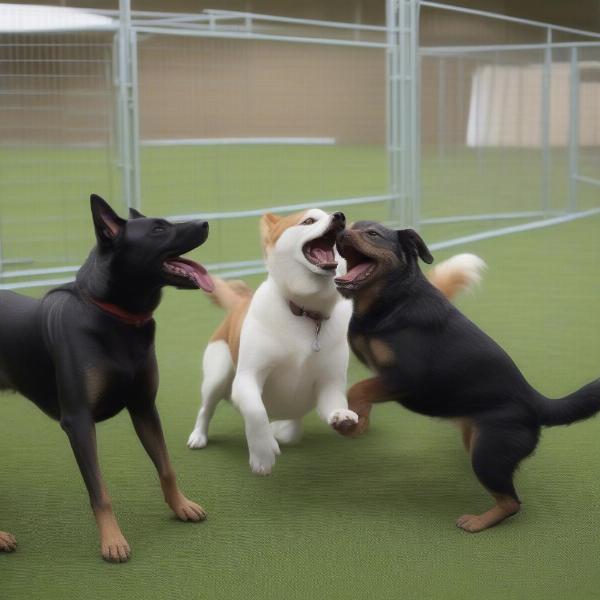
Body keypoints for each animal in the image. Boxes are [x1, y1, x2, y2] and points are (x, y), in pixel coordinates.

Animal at [0, 195, 216, 560]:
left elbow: (167, 467)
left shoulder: (144, 407)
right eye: (158, 229)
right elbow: (100, 491)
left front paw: (181, 506)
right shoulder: (78, 421)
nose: (205, 223)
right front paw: (112, 540)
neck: (113, 316)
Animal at [188, 209, 482, 476]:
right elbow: (255, 411)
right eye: (308, 220)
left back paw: (282, 430)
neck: (307, 313)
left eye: (337, 217)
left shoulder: (329, 384)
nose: (339, 216)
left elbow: (338, 404)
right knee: (206, 408)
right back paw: (199, 437)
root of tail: (241, 301)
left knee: (291, 423)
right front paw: (263, 454)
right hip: (218, 375)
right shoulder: (247, 379)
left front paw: (343, 418)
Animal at [336, 223, 600, 532]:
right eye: (351, 227)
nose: (339, 230)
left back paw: (478, 522)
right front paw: (358, 423)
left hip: (486, 455)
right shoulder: (378, 370)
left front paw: (349, 423)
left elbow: (357, 389)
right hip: (476, 441)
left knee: (511, 502)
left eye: (372, 234)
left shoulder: (405, 379)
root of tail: (536, 402)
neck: (395, 299)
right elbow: (361, 391)